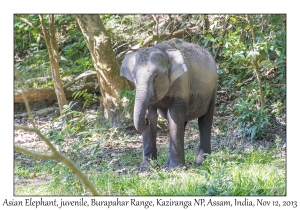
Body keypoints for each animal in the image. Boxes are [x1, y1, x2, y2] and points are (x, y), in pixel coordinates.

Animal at [120, 37, 218, 169]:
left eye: (156, 76)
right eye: (134, 76)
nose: (145, 120)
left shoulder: (181, 82)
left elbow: (174, 116)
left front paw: (176, 169)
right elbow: (154, 116)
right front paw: (146, 167)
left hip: (212, 91)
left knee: (204, 121)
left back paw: (201, 162)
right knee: (183, 122)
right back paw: (167, 164)